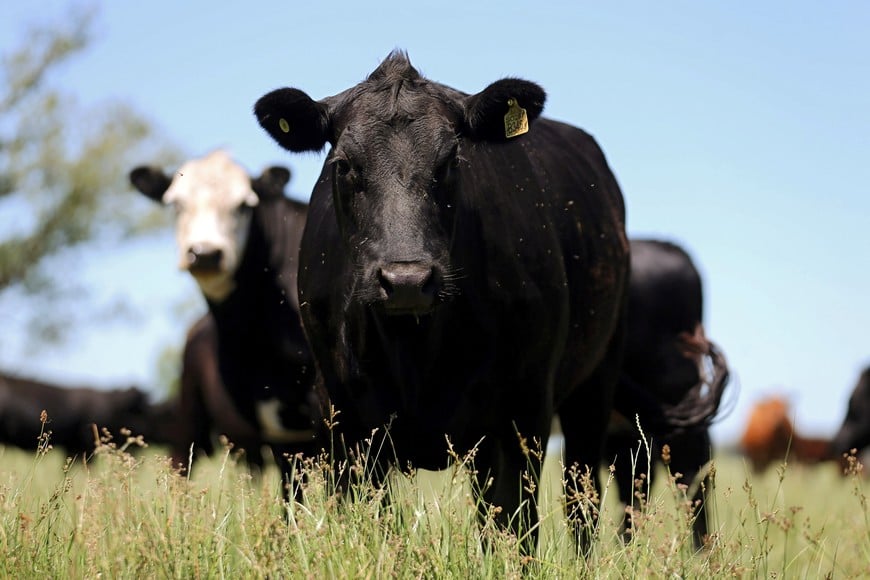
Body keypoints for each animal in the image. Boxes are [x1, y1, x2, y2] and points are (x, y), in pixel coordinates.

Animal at [253, 51, 630, 553]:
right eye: (343, 164)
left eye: (452, 160)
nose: (407, 280)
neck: (415, 351)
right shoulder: (342, 415)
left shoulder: (525, 407)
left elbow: (517, 528)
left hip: (595, 382)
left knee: (580, 503)